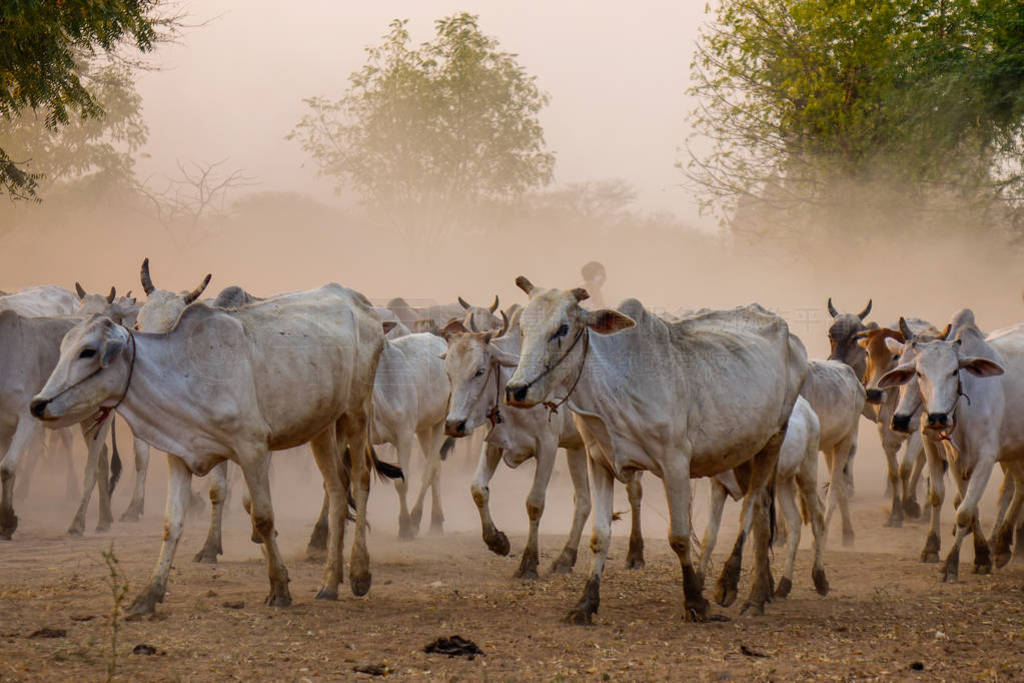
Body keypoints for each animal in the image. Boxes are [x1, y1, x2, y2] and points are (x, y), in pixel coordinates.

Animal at [29, 282, 393, 614]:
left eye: (88, 351)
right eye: (63, 348)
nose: (38, 404)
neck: (188, 372)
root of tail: (360, 301)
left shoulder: (253, 450)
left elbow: (263, 516)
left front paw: (279, 587)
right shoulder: (179, 455)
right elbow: (172, 524)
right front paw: (148, 595)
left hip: (356, 412)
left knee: (360, 481)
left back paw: (359, 573)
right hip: (321, 427)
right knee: (337, 490)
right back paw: (329, 582)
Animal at [499, 278, 802, 626]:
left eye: (562, 328)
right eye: (523, 328)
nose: (516, 390)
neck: (615, 383)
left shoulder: (675, 463)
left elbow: (680, 537)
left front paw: (695, 600)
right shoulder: (599, 462)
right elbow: (599, 536)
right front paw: (585, 603)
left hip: (774, 438)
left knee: (751, 507)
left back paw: (731, 585)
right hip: (747, 450)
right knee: (763, 512)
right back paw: (759, 595)